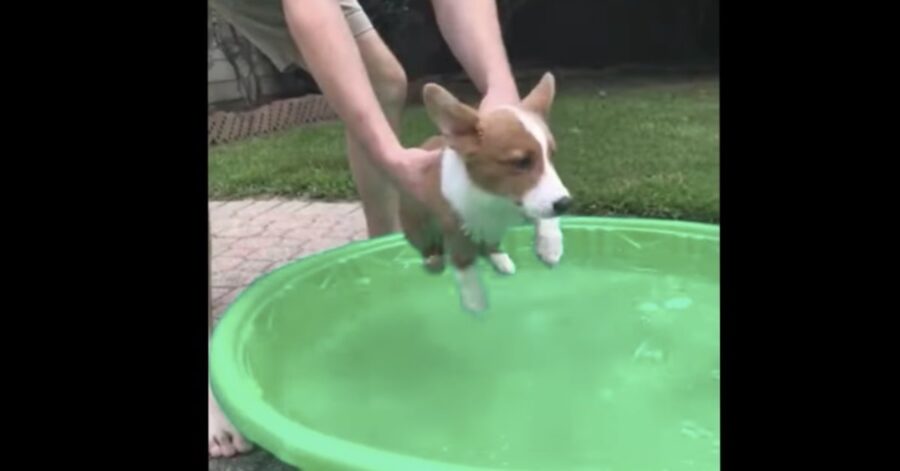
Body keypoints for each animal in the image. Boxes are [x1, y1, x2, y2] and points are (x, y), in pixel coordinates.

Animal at [400, 71, 568, 314]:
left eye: (551, 155)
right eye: (521, 162)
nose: (566, 204)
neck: (495, 198)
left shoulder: (529, 204)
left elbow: (546, 217)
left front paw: (550, 247)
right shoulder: (455, 231)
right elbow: (464, 264)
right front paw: (475, 299)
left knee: (490, 245)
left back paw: (501, 260)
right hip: (418, 229)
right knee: (430, 248)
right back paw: (434, 261)